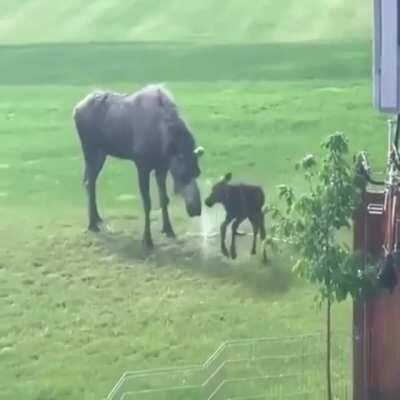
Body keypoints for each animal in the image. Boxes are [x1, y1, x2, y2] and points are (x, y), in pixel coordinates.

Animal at [72, 83, 203, 248]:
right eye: (183, 174)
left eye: (197, 172)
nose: (196, 209)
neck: (164, 144)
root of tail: (76, 109)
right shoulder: (142, 166)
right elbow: (147, 203)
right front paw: (147, 239)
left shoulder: (162, 167)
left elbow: (164, 199)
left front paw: (168, 229)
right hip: (89, 148)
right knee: (88, 181)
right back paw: (91, 224)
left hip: (102, 153)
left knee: (90, 181)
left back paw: (96, 217)